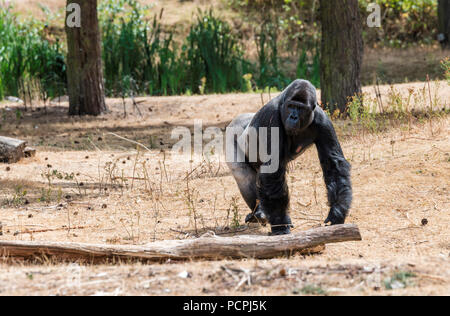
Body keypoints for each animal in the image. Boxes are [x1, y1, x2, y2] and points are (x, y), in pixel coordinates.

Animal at [227, 80, 354, 236]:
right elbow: (272, 171)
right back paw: (259, 212)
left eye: (300, 108)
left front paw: (337, 212)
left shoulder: (323, 120)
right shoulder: (272, 118)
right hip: (233, 130)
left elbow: (333, 163)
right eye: (291, 106)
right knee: (243, 175)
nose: (293, 117)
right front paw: (281, 225)